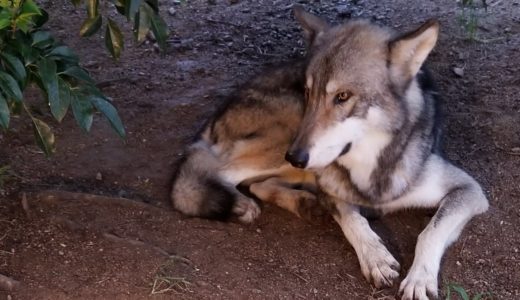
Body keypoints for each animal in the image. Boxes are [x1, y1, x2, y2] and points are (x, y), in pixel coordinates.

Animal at [171, 5, 488, 298]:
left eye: (343, 96)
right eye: (308, 92)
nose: (295, 157)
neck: (371, 173)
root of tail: (216, 113)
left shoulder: (469, 190)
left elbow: (430, 231)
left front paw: (419, 278)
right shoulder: (329, 186)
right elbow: (352, 219)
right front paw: (375, 257)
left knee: (256, 184)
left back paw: (303, 203)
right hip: (285, 135)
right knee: (211, 175)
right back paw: (243, 205)